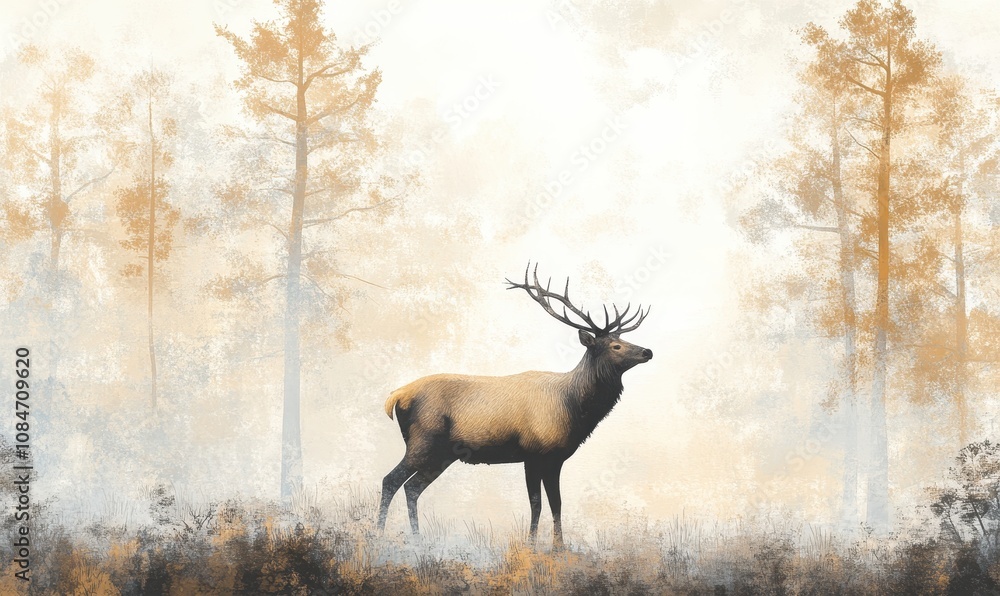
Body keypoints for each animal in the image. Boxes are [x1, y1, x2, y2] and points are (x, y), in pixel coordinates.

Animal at [376, 263, 652, 549]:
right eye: (615, 345)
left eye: (623, 340)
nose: (647, 351)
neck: (572, 409)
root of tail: (396, 396)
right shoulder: (534, 453)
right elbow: (537, 503)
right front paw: (533, 545)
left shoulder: (554, 458)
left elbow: (556, 503)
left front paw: (558, 546)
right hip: (422, 442)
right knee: (390, 480)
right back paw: (377, 535)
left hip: (442, 455)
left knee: (412, 487)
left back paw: (417, 540)